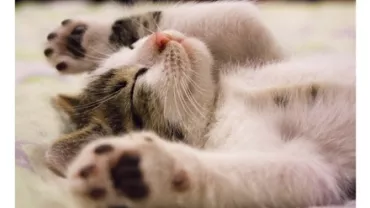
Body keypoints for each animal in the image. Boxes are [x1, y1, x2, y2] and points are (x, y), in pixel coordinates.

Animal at [44, 0, 284, 176]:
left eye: (132, 47)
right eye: (134, 86)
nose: (160, 38)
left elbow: (241, 16)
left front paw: (82, 38)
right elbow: (245, 17)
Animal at [61, 30, 356, 208]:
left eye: (132, 44)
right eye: (133, 87)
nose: (160, 36)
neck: (220, 101)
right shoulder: (320, 171)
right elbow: (291, 173)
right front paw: (138, 168)